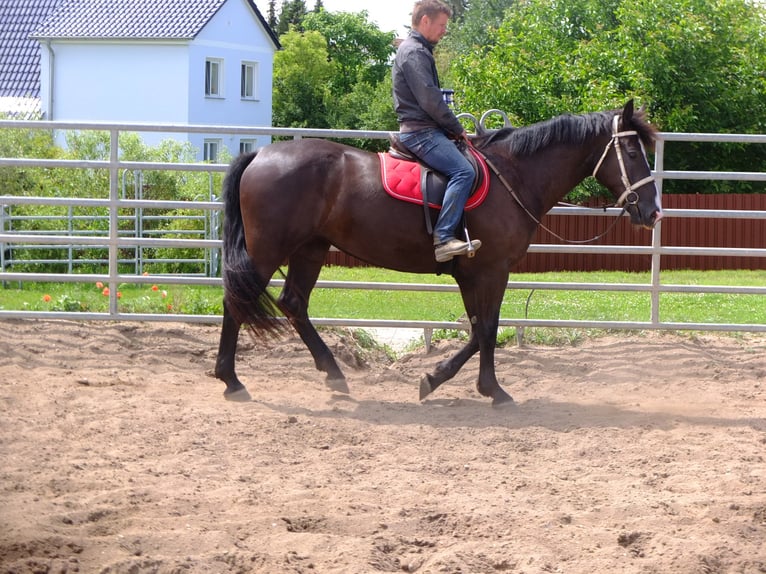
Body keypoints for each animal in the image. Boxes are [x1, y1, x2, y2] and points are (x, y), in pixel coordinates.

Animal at [213, 102, 664, 410]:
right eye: (633, 154)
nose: (652, 212)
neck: (513, 176)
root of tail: (260, 155)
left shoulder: (471, 274)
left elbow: (478, 330)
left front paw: (436, 378)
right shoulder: (492, 270)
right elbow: (488, 330)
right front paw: (492, 390)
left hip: (310, 249)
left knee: (293, 304)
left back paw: (334, 374)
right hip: (268, 250)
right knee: (237, 302)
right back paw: (231, 380)